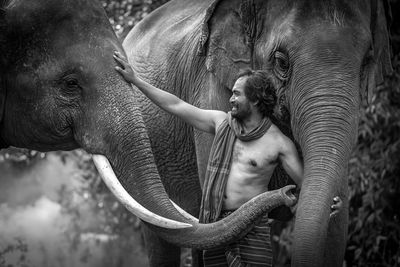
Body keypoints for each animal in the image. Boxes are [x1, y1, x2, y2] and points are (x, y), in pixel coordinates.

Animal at [122, 0, 394, 266]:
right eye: (282, 61)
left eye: (366, 61)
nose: (291, 193)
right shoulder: (209, 88)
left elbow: (336, 231)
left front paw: (335, 206)